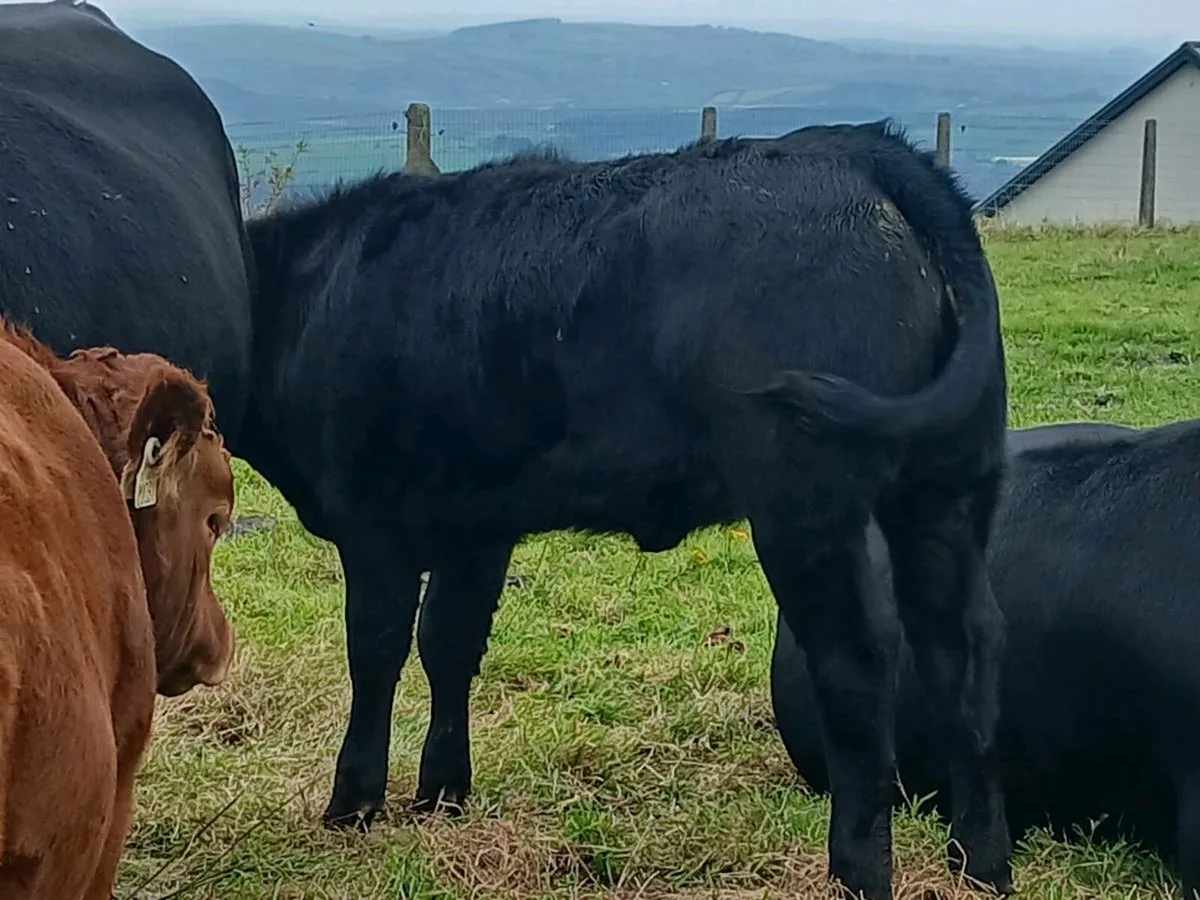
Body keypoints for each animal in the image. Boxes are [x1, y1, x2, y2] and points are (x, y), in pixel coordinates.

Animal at [240, 121, 1012, 899]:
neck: (311, 294)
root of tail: (859, 147)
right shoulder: (476, 529)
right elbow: (449, 645)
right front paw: (442, 796)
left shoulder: (371, 523)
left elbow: (375, 653)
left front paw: (353, 804)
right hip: (949, 488)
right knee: (959, 650)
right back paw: (980, 865)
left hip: (809, 504)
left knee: (857, 662)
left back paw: (857, 873)